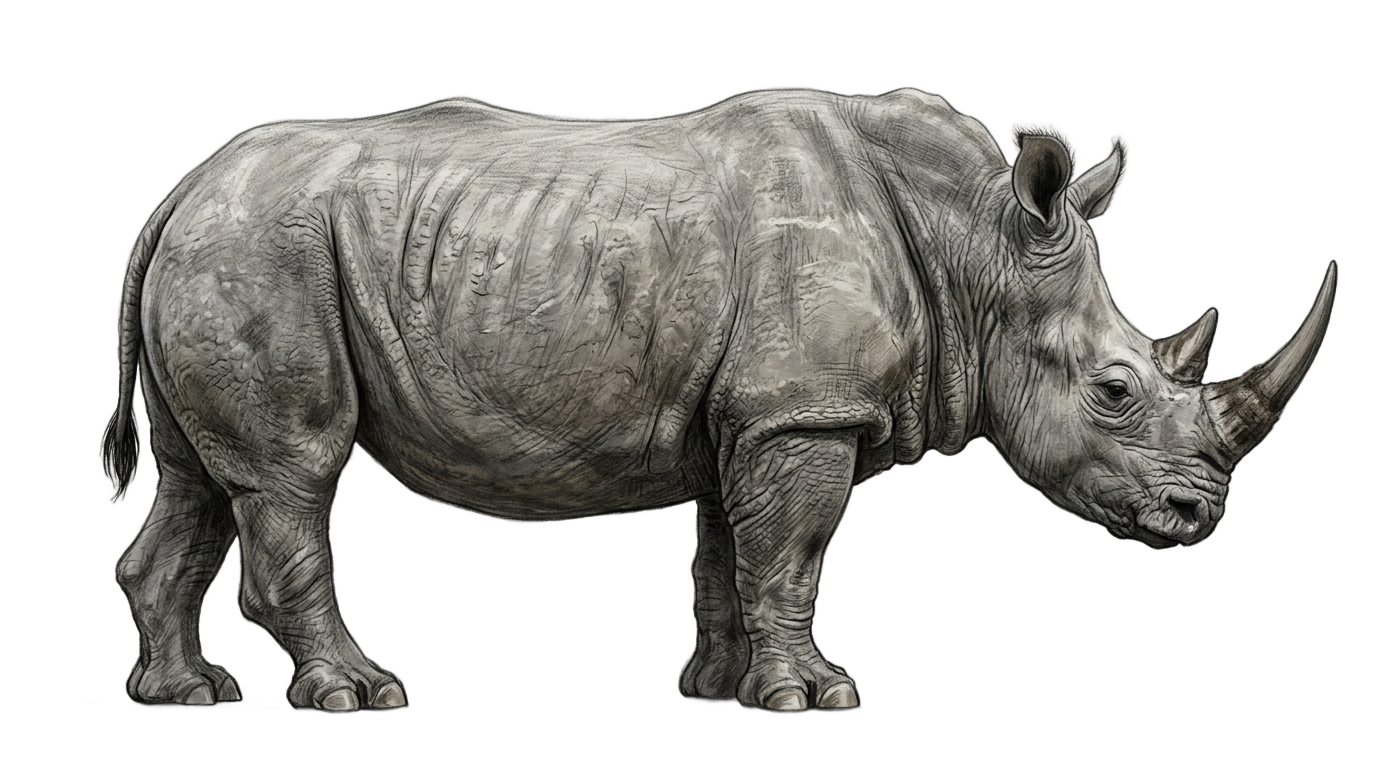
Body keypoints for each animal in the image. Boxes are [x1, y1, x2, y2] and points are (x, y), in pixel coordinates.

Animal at [102, 87, 1336, 712]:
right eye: (1116, 389)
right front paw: (811, 700)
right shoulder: (803, 410)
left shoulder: (744, 412)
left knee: (192, 486)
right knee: (288, 476)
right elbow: (789, 556)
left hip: (225, 252)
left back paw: (184, 695)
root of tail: (181, 192)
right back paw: (356, 696)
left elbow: (724, 557)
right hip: (264, 254)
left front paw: (712, 687)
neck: (976, 247)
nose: (1197, 516)